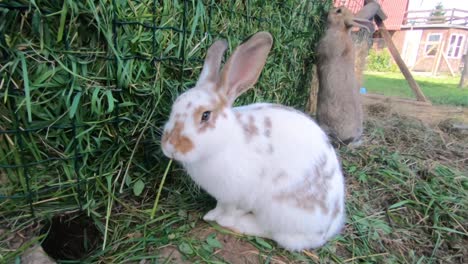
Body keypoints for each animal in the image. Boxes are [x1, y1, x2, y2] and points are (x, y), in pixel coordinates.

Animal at [163, 32, 346, 251]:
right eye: (174, 105)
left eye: (205, 115)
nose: (169, 147)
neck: (225, 142)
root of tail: (327, 229)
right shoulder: (222, 196)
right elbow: (219, 206)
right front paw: (210, 215)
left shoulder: (238, 195)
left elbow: (231, 210)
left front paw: (223, 219)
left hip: (279, 211)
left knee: (278, 234)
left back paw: (241, 224)